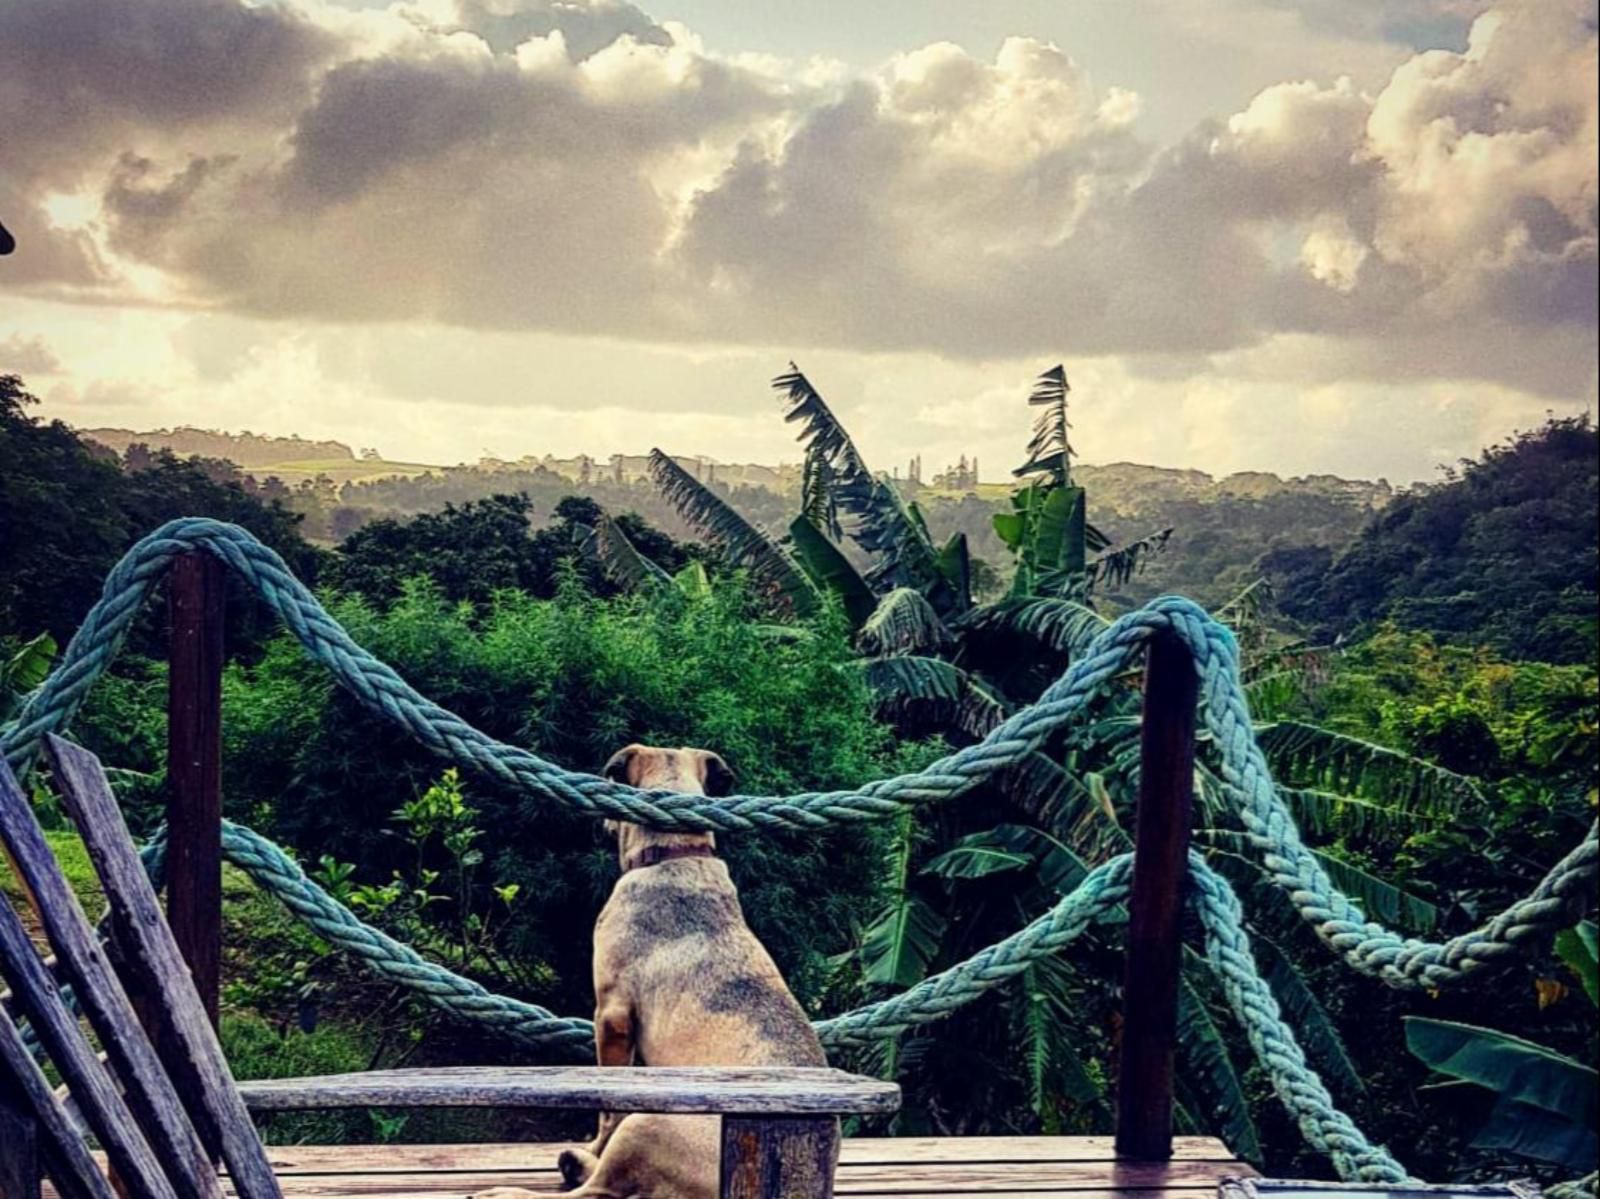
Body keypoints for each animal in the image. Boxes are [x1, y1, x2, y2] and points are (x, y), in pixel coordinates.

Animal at [473, 742, 832, 1190]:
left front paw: (594, 1144)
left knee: (597, 1188)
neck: (674, 852)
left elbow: (607, 1108)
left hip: (649, 1119)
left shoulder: (611, 1016)